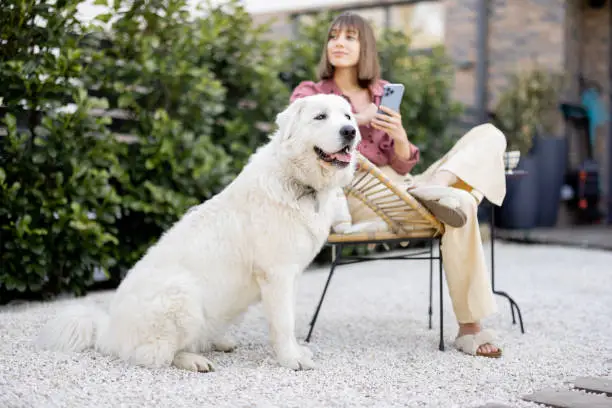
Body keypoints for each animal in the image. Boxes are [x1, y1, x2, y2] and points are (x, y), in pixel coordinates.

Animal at [37, 94, 358, 372]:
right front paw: (292, 359)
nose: (351, 131)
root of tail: (108, 331)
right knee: (155, 355)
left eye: (347, 116)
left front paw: (296, 352)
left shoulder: (289, 274)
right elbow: (284, 323)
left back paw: (218, 342)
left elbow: (288, 320)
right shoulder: (277, 274)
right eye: (320, 116)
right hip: (182, 294)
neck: (298, 181)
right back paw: (193, 361)